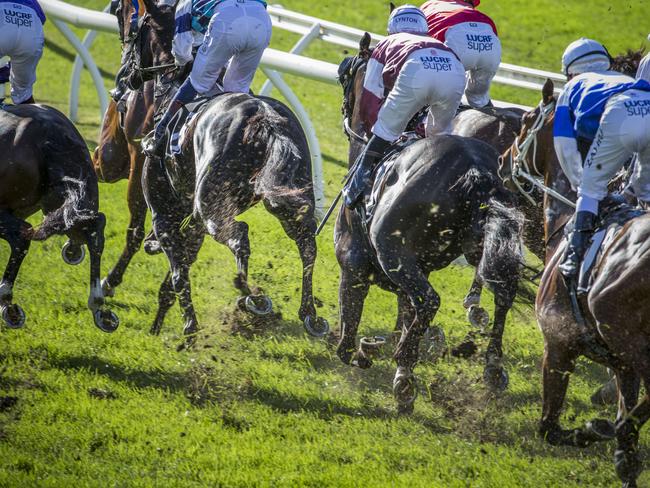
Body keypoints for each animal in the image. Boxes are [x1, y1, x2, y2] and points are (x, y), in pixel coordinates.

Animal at [134, 0, 326, 340]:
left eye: (135, 28)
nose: (125, 79)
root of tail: (265, 119)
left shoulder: (164, 212)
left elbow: (178, 272)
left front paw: (188, 327)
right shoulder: (193, 219)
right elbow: (182, 263)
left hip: (212, 207)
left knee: (240, 236)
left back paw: (253, 297)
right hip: (288, 197)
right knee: (306, 243)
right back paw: (309, 314)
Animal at [332, 38, 524, 414]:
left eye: (345, 76)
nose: (345, 116)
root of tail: (475, 171)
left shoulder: (354, 265)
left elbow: (347, 339)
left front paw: (368, 350)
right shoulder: (415, 266)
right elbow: (407, 315)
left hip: (391, 251)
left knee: (429, 300)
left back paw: (405, 374)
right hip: (481, 247)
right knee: (502, 293)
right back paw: (493, 368)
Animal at [502, 78, 648, 486]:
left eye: (526, 121)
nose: (503, 160)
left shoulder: (558, 345)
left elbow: (549, 429)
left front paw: (592, 430)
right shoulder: (624, 366)